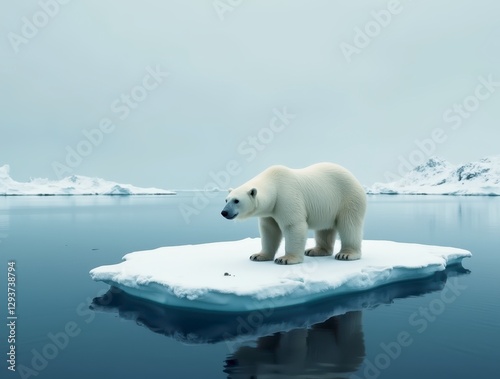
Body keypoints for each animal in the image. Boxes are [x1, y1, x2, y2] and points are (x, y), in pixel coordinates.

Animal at [222, 164, 368, 268]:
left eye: (236, 201)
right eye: (226, 200)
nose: (224, 212)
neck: (274, 184)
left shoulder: (287, 196)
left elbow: (293, 226)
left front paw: (285, 259)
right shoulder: (271, 210)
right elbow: (269, 230)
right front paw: (258, 256)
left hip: (348, 198)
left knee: (349, 225)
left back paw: (346, 254)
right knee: (324, 229)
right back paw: (315, 250)